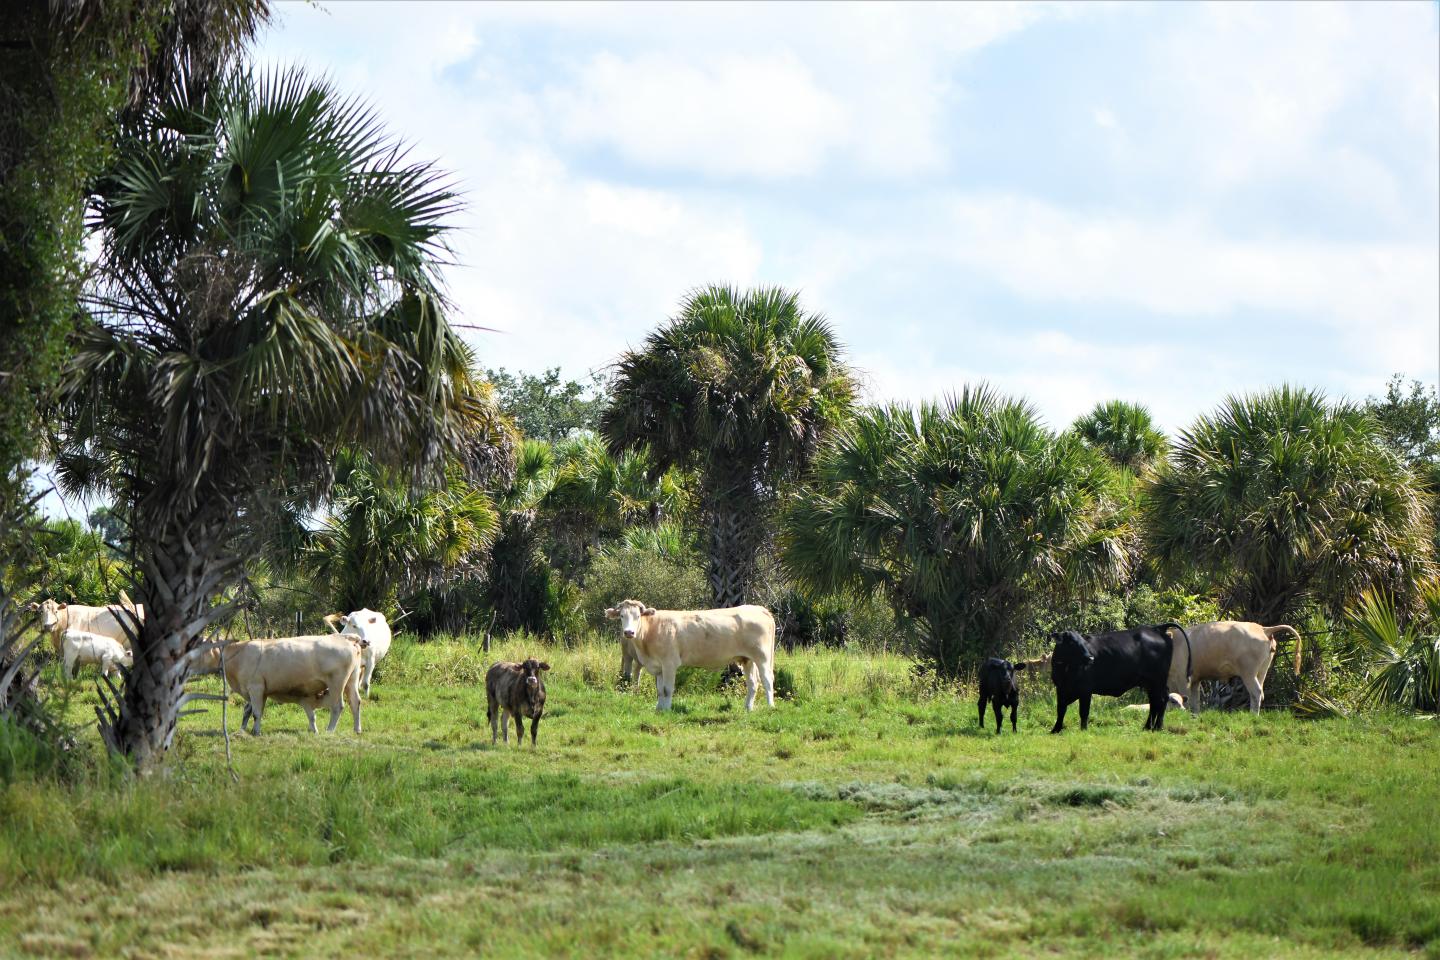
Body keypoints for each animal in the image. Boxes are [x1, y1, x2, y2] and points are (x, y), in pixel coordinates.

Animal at [192, 639, 365, 736]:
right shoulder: (258, 690)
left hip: (337, 683)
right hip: (352, 680)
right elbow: (248, 711)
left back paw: (329, 730)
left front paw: (256, 732)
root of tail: (350, 642)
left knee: (338, 706)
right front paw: (242, 730)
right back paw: (357, 729)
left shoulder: (255, 687)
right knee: (355, 702)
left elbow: (255, 713)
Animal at [601, 601, 777, 713]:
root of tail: (758, 609)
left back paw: (770, 706)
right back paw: (748, 708)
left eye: (638, 616)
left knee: (767, 680)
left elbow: (667, 689)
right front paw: (659, 709)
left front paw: (666, 710)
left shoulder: (669, 663)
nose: (628, 632)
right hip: (747, 659)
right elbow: (660, 690)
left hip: (762, 657)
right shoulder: (658, 666)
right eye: (621, 616)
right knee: (753, 683)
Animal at [1048, 624, 1192, 736]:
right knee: (1154, 702)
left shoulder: (1085, 690)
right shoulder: (1061, 689)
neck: (1065, 670)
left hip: (1158, 680)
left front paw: (1083, 730)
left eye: (1084, 642)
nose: (1090, 658)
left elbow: (1084, 712)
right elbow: (1061, 710)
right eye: (1072, 642)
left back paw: (1158, 727)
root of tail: (1155, 629)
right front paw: (1055, 729)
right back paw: (1148, 727)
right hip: (1150, 683)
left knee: (1161, 699)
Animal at [1163, 624, 1301, 713]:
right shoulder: (1194, 679)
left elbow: (1184, 697)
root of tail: (1262, 628)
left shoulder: (1183, 677)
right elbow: (1195, 700)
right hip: (1262, 671)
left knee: (1256, 692)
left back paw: (1253, 715)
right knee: (1261, 693)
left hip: (1248, 673)